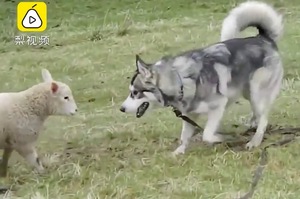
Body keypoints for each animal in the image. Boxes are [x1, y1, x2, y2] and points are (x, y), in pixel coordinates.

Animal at [119, 0, 284, 155]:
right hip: (247, 92)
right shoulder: (189, 115)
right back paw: (252, 124)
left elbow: (207, 134)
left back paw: (255, 140)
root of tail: (264, 38)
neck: (180, 80)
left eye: (135, 92)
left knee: (264, 118)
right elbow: (184, 136)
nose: (121, 108)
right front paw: (179, 151)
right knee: (258, 113)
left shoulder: (218, 106)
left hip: (256, 92)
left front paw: (221, 138)